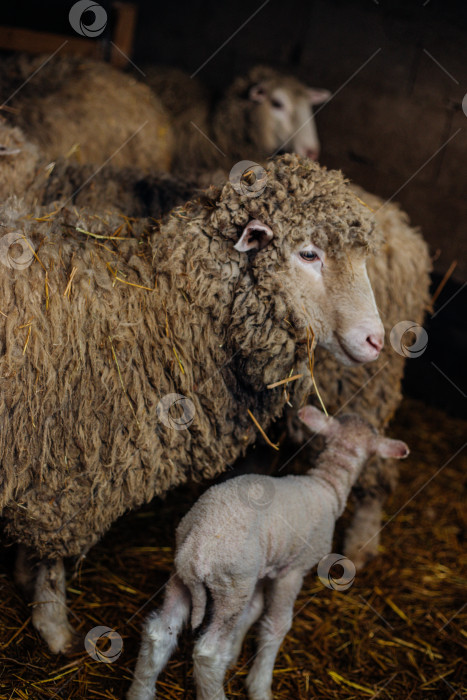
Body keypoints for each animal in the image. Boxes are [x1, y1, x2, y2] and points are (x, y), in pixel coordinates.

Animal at [0, 156, 386, 652]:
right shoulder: (65, 466)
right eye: (307, 254)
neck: (166, 297)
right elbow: (53, 555)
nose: (377, 340)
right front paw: (53, 623)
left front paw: (25, 580)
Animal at [128, 404, 410, 700]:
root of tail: (197, 549)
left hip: (183, 576)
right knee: (208, 653)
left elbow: (253, 611)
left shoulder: (266, 569)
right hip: (233, 585)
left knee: (160, 633)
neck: (326, 486)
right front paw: (259, 685)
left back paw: (140, 692)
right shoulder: (292, 572)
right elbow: (276, 625)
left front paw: (235, 655)